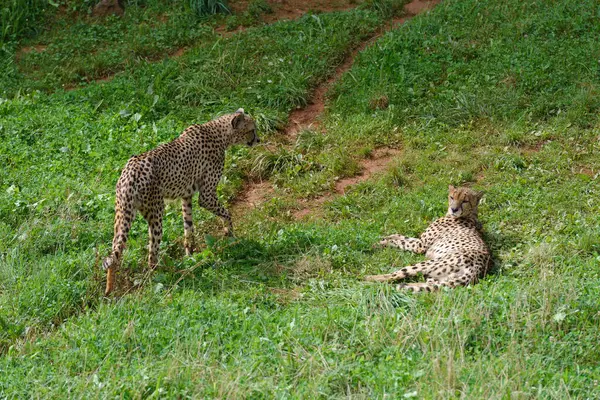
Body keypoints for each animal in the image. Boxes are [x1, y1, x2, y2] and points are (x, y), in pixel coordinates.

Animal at [103, 108, 258, 296]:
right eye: (251, 130)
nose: (258, 140)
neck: (219, 133)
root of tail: (130, 171)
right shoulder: (206, 196)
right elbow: (226, 213)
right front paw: (231, 234)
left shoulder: (186, 196)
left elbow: (188, 227)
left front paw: (190, 254)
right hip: (156, 214)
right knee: (151, 253)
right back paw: (160, 276)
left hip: (121, 215)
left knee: (114, 250)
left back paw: (109, 289)